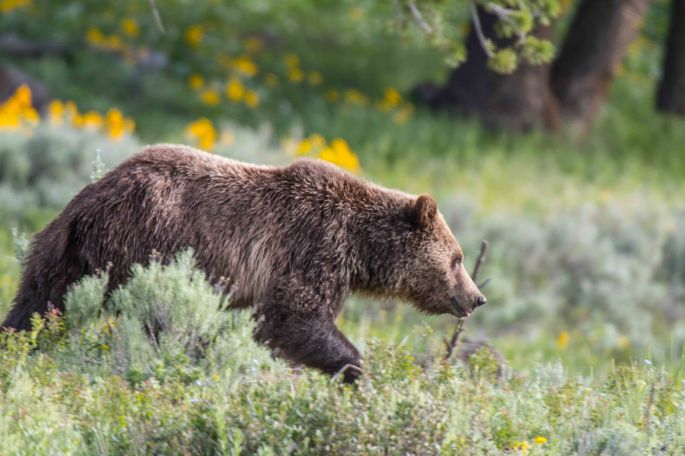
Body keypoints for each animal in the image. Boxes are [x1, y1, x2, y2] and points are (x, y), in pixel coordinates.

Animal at [2, 144, 486, 382]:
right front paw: (354, 371)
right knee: (160, 319)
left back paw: (17, 344)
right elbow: (295, 316)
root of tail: (90, 198)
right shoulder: (311, 246)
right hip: (151, 239)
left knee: (39, 299)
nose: (477, 297)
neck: (359, 245)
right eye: (458, 258)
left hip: (65, 250)